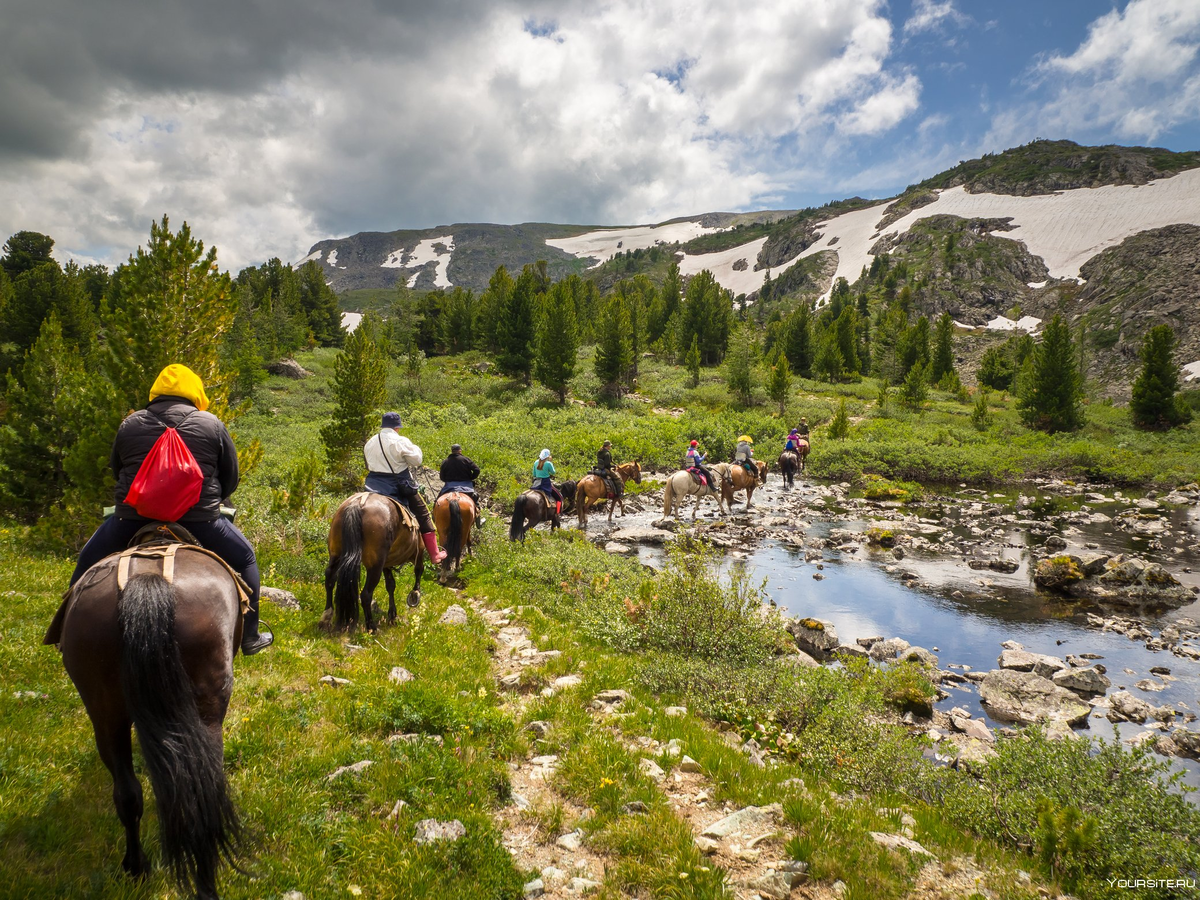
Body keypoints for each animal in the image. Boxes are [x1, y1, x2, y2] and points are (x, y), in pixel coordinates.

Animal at [45, 542, 246, 900]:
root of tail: (147, 580)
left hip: (104, 711)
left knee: (127, 794)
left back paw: (137, 867)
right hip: (207, 711)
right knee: (202, 790)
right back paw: (205, 882)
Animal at [324, 494, 427, 633]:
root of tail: (358, 504)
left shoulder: (387, 563)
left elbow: (391, 585)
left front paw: (392, 615)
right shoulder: (419, 551)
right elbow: (418, 570)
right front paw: (415, 594)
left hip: (336, 554)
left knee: (330, 578)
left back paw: (325, 619)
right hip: (375, 565)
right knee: (366, 594)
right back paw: (371, 627)